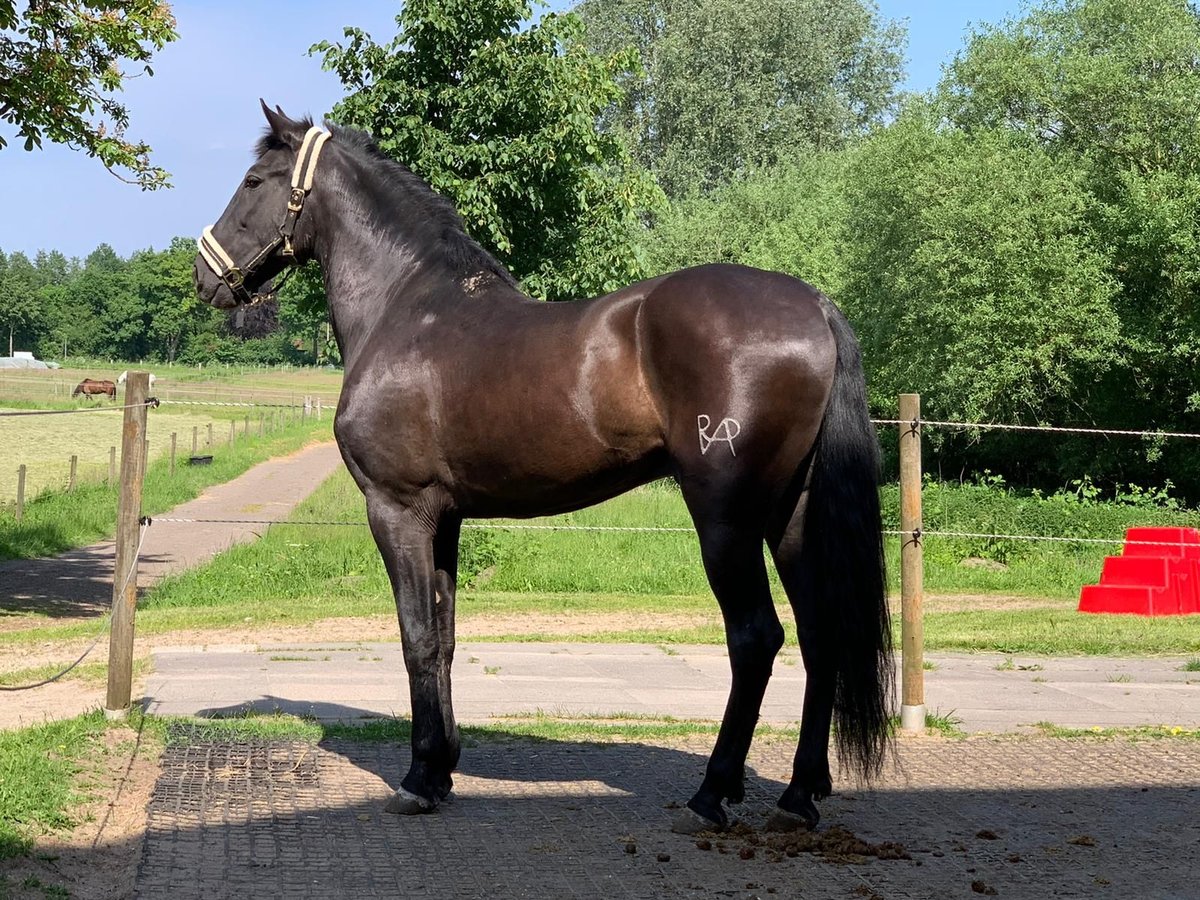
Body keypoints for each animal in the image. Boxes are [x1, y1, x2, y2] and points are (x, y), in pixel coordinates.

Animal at [192, 107, 897, 840]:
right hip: (791, 517)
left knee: (757, 638)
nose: (203, 276)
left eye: (254, 180)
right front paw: (441, 769)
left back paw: (712, 794)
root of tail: (814, 306)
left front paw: (417, 779)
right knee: (820, 635)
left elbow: (416, 637)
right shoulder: (445, 520)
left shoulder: (397, 510)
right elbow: (444, 639)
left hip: (726, 521)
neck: (408, 308)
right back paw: (797, 795)